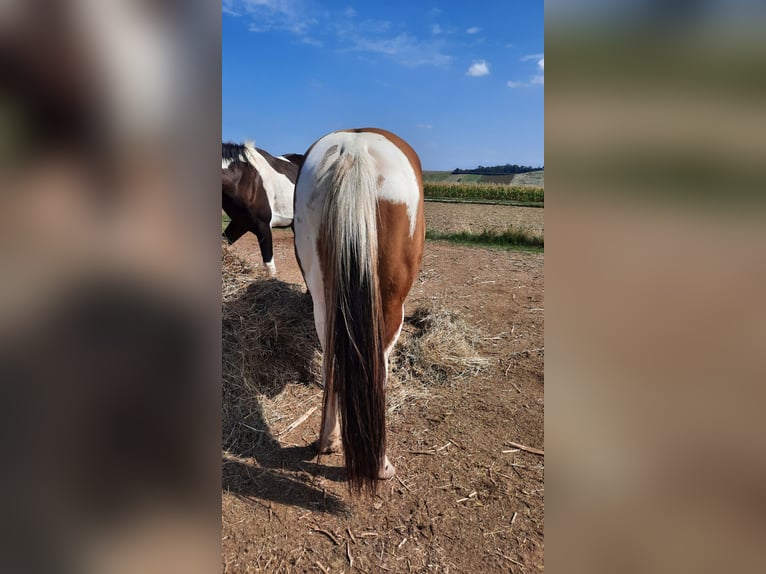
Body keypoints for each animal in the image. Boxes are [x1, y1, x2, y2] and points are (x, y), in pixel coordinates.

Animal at [293, 128, 425, 494]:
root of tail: (352, 150)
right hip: (391, 305)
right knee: (377, 368)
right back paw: (379, 465)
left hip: (323, 297)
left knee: (331, 360)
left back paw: (327, 440)